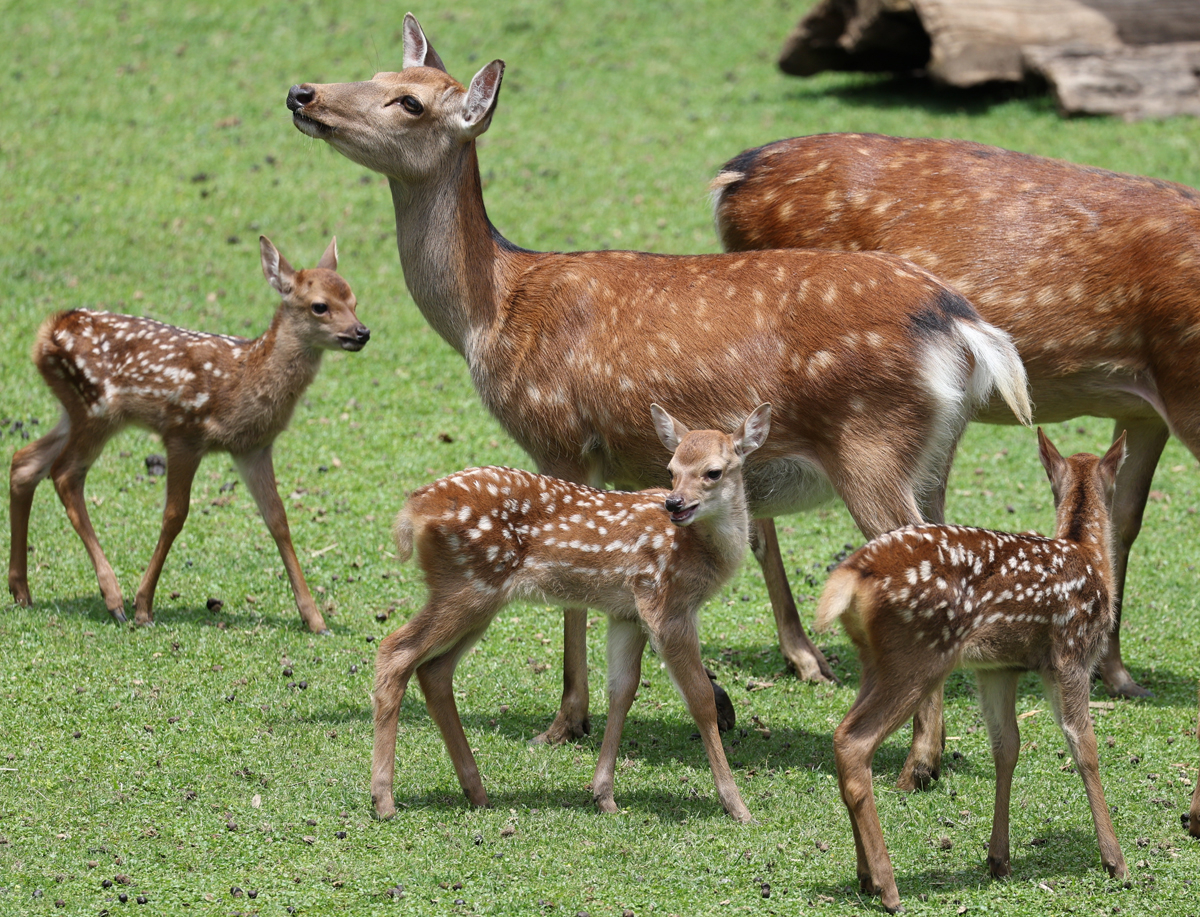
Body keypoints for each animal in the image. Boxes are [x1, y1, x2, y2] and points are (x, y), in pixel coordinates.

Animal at [7, 236, 369, 633]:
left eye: (354, 300)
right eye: (320, 306)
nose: (362, 332)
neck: (246, 379)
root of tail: (47, 332)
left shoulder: (253, 448)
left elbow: (278, 519)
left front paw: (315, 619)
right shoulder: (183, 433)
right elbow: (174, 515)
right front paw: (143, 607)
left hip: (74, 411)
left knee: (25, 462)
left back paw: (21, 591)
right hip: (96, 408)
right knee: (65, 474)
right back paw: (113, 600)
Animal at [369, 405, 772, 820]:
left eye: (713, 471)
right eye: (671, 469)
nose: (674, 503)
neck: (697, 549)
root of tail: (413, 510)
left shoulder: (627, 613)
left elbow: (622, 690)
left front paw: (604, 795)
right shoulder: (666, 604)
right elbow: (699, 698)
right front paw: (737, 805)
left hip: (477, 598)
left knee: (434, 670)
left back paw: (475, 791)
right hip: (467, 585)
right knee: (395, 652)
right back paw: (384, 799)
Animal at [705, 132, 1200, 700]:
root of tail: (732, 177)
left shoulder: (1144, 408)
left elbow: (1122, 522)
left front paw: (1117, 674)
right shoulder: (1185, 387)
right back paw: (806, 658)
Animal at [811, 427, 1128, 912]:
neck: (1087, 553)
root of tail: (850, 576)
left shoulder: (998, 668)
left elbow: (1007, 747)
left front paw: (999, 859)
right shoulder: (1072, 654)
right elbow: (1084, 747)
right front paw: (1115, 860)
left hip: (877, 661)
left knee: (842, 734)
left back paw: (865, 877)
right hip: (918, 656)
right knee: (853, 741)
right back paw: (888, 887)